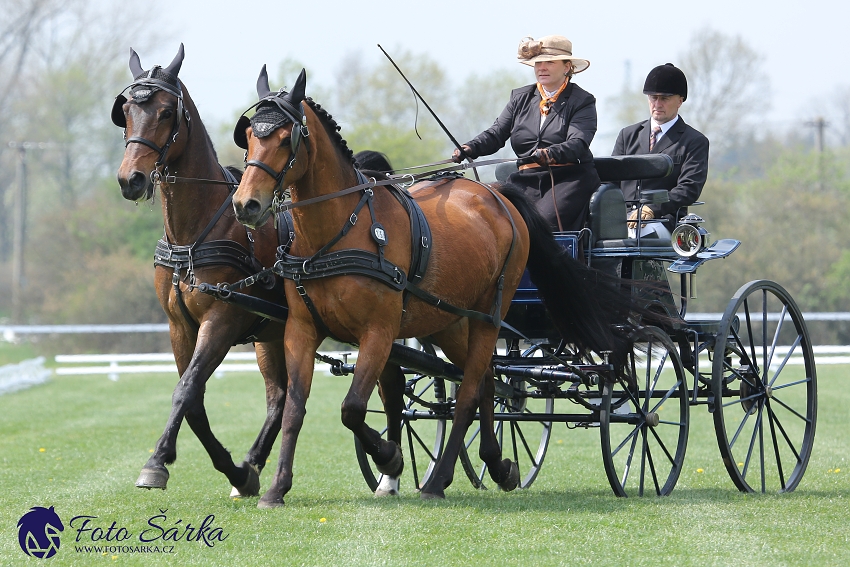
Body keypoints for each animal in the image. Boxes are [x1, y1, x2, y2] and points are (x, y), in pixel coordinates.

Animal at [112, 44, 288, 496]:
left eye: (165, 113)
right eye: (127, 111)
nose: (130, 179)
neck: (192, 236)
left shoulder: (221, 319)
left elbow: (186, 390)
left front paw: (156, 461)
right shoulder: (179, 325)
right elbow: (193, 401)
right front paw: (235, 471)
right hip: (270, 335)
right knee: (279, 396)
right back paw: (252, 464)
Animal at [230, 66, 628, 506]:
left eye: (287, 138)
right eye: (249, 136)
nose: (245, 204)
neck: (337, 233)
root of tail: (496, 195)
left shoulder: (379, 331)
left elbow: (352, 407)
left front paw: (389, 458)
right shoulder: (301, 329)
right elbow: (294, 409)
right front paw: (276, 488)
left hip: (489, 317)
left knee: (468, 394)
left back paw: (438, 481)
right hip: (451, 323)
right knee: (487, 383)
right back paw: (497, 465)